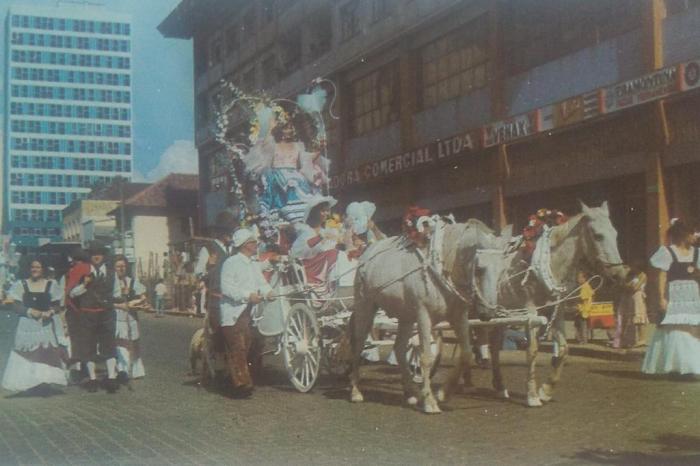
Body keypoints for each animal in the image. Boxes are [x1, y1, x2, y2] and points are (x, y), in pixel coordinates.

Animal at [350, 220, 508, 414]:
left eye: (502, 271)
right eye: (479, 270)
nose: (488, 312)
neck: (442, 268)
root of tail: (369, 251)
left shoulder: (459, 317)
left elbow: (466, 353)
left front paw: (444, 393)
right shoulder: (423, 316)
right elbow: (426, 357)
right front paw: (430, 400)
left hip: (406, 317)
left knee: (399, 349)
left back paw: (412, 393)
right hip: (365, 306)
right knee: (358, 344)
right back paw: (356, 390)